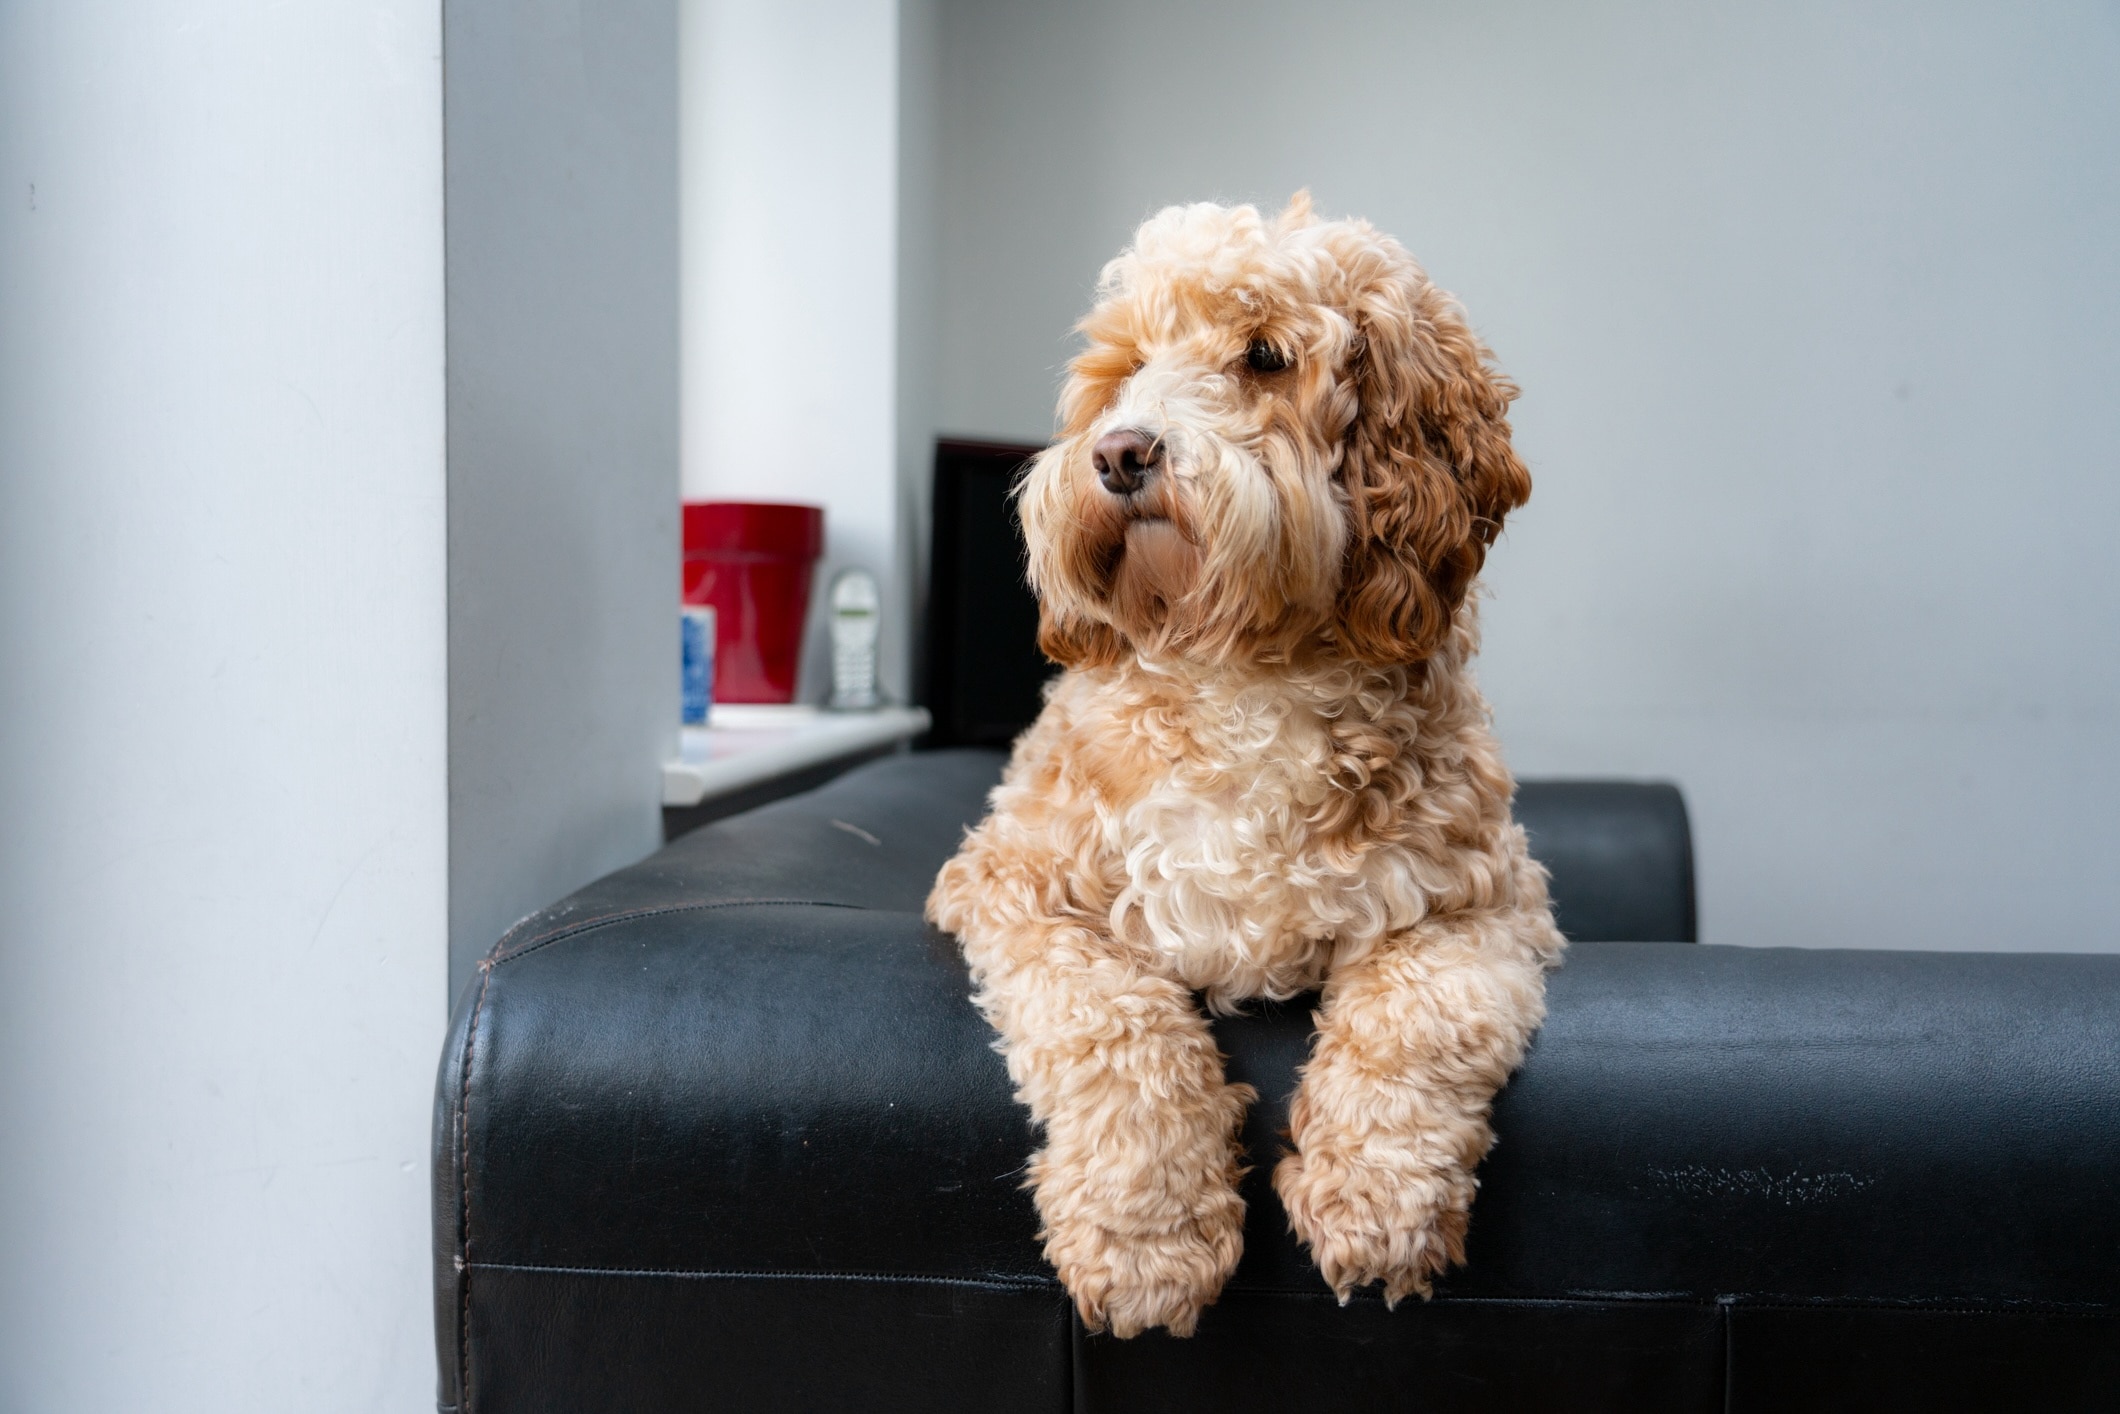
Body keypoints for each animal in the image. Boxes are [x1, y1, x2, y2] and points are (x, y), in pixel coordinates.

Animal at [937, 193, 1568, 1331]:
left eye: (1266, 356)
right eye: (1128, 367)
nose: (1119, 452)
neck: (1245, 675)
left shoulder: (1483, 903)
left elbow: (1415, 1017)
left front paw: (1375, 1201)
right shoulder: (1014, 885)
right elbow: (1113, 1020)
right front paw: (1146, 1237)